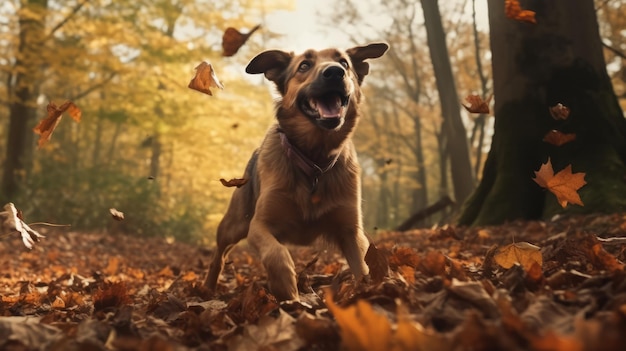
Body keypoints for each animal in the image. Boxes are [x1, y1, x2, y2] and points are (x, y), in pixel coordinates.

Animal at [205, 42, 388, 302]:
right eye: (304, 66)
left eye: (344, 63)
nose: (335, 72)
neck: (314, 161)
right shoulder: (258, 226)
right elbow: (276, 254)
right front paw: (287, 289)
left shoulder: (351, 233)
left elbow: (363, 268)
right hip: (234, 225)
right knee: (219, 255)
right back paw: (207, 287)